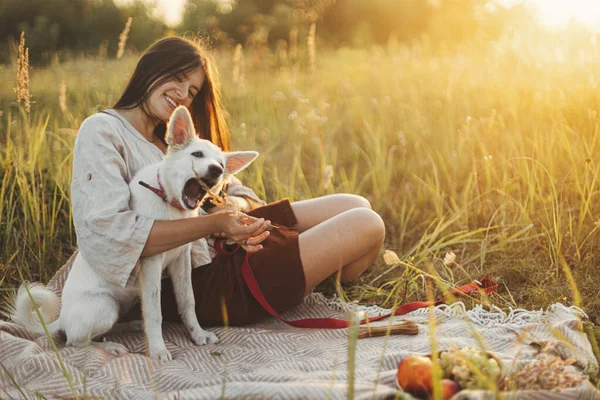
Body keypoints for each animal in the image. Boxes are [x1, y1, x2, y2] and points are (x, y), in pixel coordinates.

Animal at [8, 106, 258, 362]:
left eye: (221, 164)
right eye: (196, 154)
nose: (217, 170)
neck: (169, 203)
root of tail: (62, 319)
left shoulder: (181, 260)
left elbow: (188, 301)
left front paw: (197, 334)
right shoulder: (151, 264)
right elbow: (155, 312)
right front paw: (158, 350)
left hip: (119, 306)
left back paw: (133, 326)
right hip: (105, 307)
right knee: (74, 342)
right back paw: (110, 347)